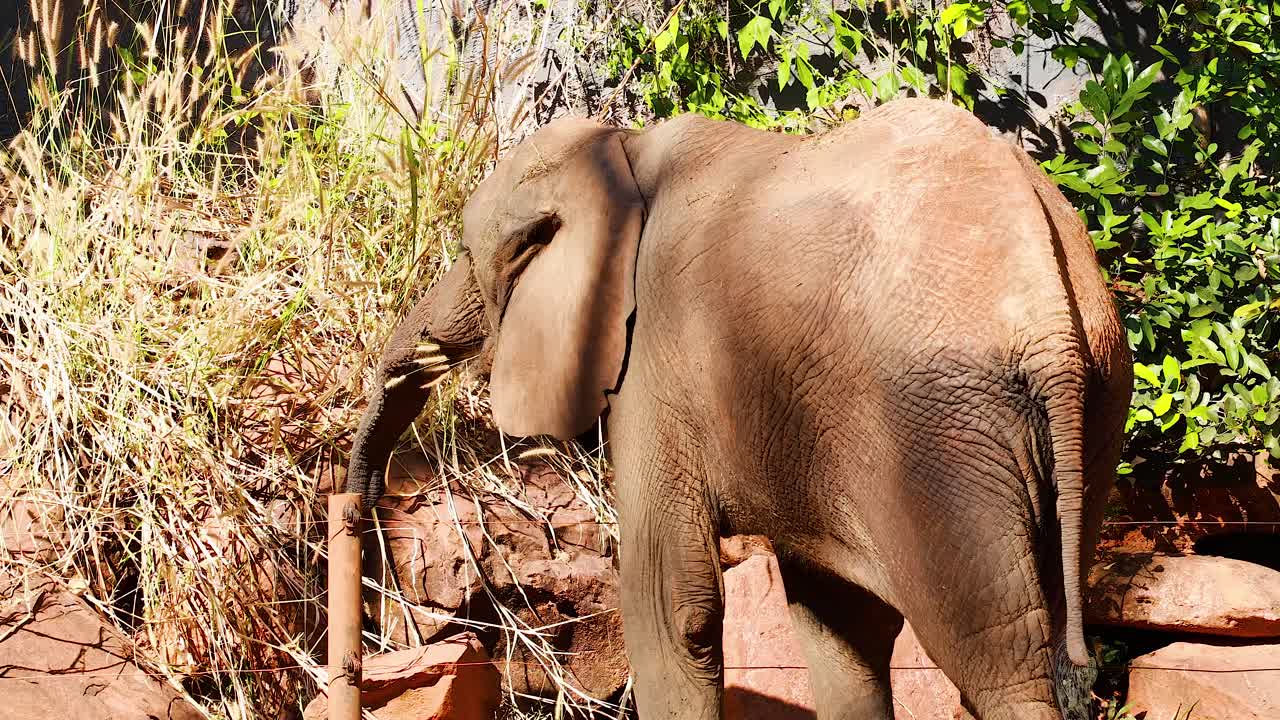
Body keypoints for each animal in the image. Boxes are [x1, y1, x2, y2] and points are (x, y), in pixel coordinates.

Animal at [344, 97, 1133, 720]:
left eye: (468, 254)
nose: (358, 516)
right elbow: (838, 617)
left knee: (996, 657)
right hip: (1089, 407)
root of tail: (1050, 314)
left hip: (940, 432)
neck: (619, 153)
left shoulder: (652, 362)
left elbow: (671, 605)